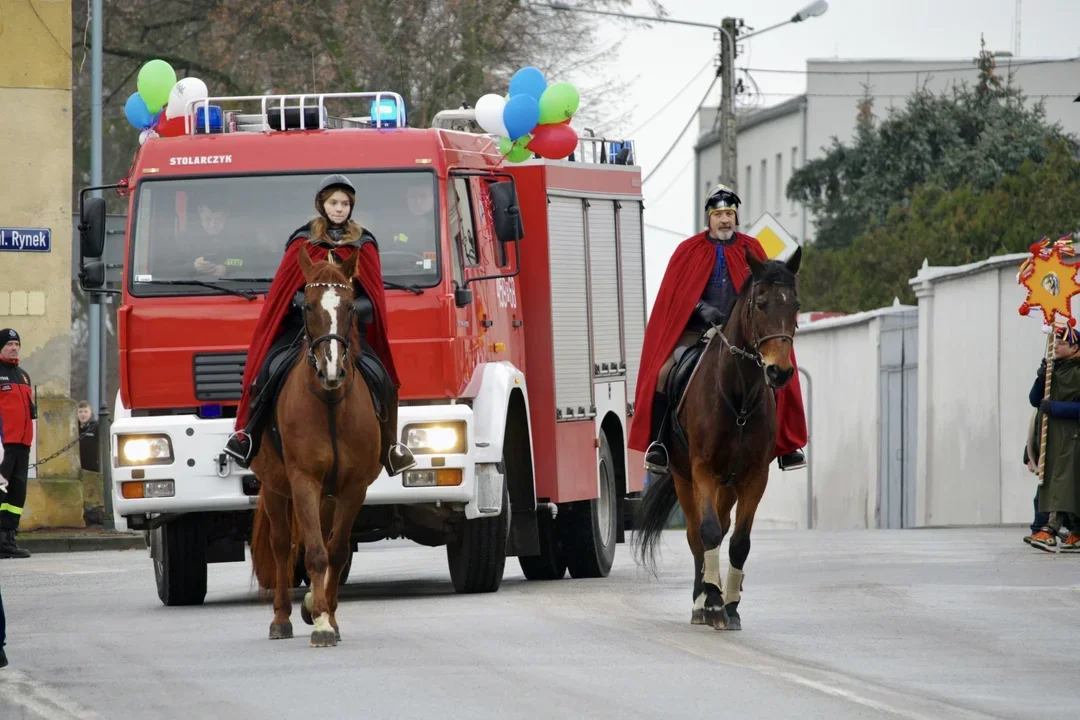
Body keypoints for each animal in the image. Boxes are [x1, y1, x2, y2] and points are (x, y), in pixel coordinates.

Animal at [248, 248, 384, 647]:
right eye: (306, 306)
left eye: (351, 308)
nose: (332, 370)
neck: (331, 404)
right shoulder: (304, 480)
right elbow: (314, 554)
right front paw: (321, 622)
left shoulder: (353, 488)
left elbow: (335, 551)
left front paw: (328, 616)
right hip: (276, 487)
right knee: (281, 545)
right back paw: (281, 618)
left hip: (328, 495)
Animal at [630, 246, 803, 630]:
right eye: (760, 303)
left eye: (795, 305)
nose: (779, 372)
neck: (738, 398)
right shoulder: (702, 471)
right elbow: (706, 532)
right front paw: (710, 603)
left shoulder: (754, 477)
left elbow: (739, 542)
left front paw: (731, 605)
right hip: (683, 477)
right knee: (697, 534)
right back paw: (702, 601)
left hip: (728, 484)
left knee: (722, 529)